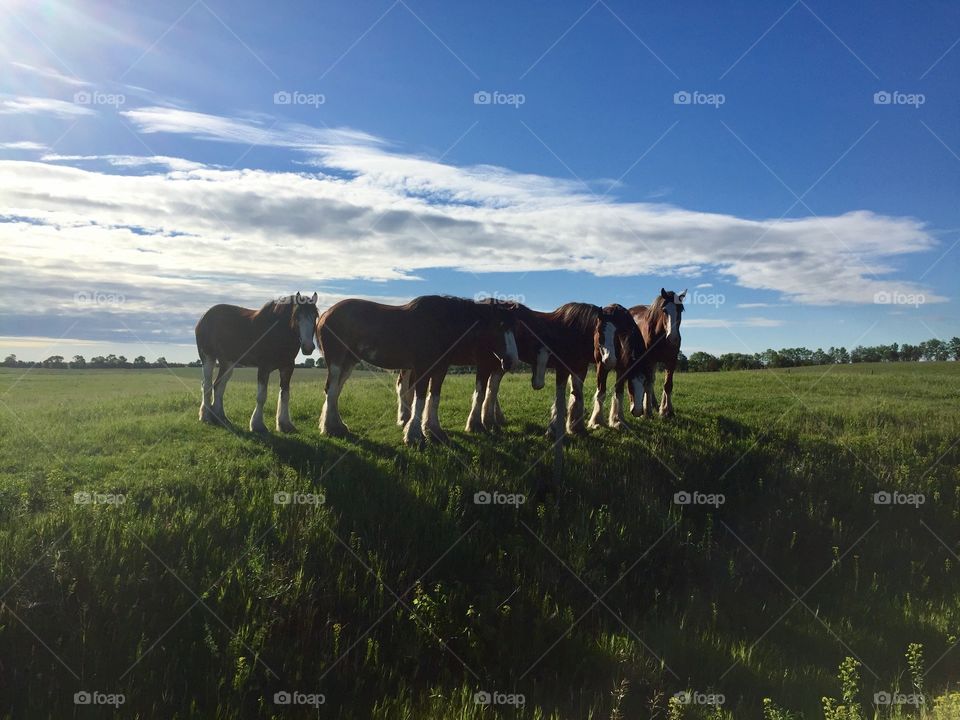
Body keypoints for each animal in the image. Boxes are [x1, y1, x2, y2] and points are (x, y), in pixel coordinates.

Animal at [195, 292, 319, 432]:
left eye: (315, 316)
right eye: (297, 316)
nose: (308, 347)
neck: (277, 331)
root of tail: (204, 317)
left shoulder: (287, 368)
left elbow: (285, 395)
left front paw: (284, 424)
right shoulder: (264, 367)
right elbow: (261, 397)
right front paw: (257, 425)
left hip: (227, 362)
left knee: (219, 386)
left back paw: (221, 418)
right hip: (208, 357)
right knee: (207, 385)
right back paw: (205, 416)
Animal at [317, 295, 519, 445]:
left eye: (513, 327)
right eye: (499, 326)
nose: (511, 361)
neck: (440, 323)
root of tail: (325, 315)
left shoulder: (441, 368)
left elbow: (434, 397)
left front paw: (434, 430)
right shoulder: (423, 367)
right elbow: (419, 398)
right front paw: (414, 434)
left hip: (348, 362)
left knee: (335, 392)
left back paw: (337, 426)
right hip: (337, 362)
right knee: (331, 390)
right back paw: (330, 428)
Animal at [628, 288, 686, 418]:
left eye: (680, 309)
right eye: (664, 310)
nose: (673, 338)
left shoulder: (671, 360)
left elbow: (667, 385)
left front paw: (667, 411)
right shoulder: (649, 360)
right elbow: (648, 385)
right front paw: (647, 412)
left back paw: (656, 405)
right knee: (647, 382)